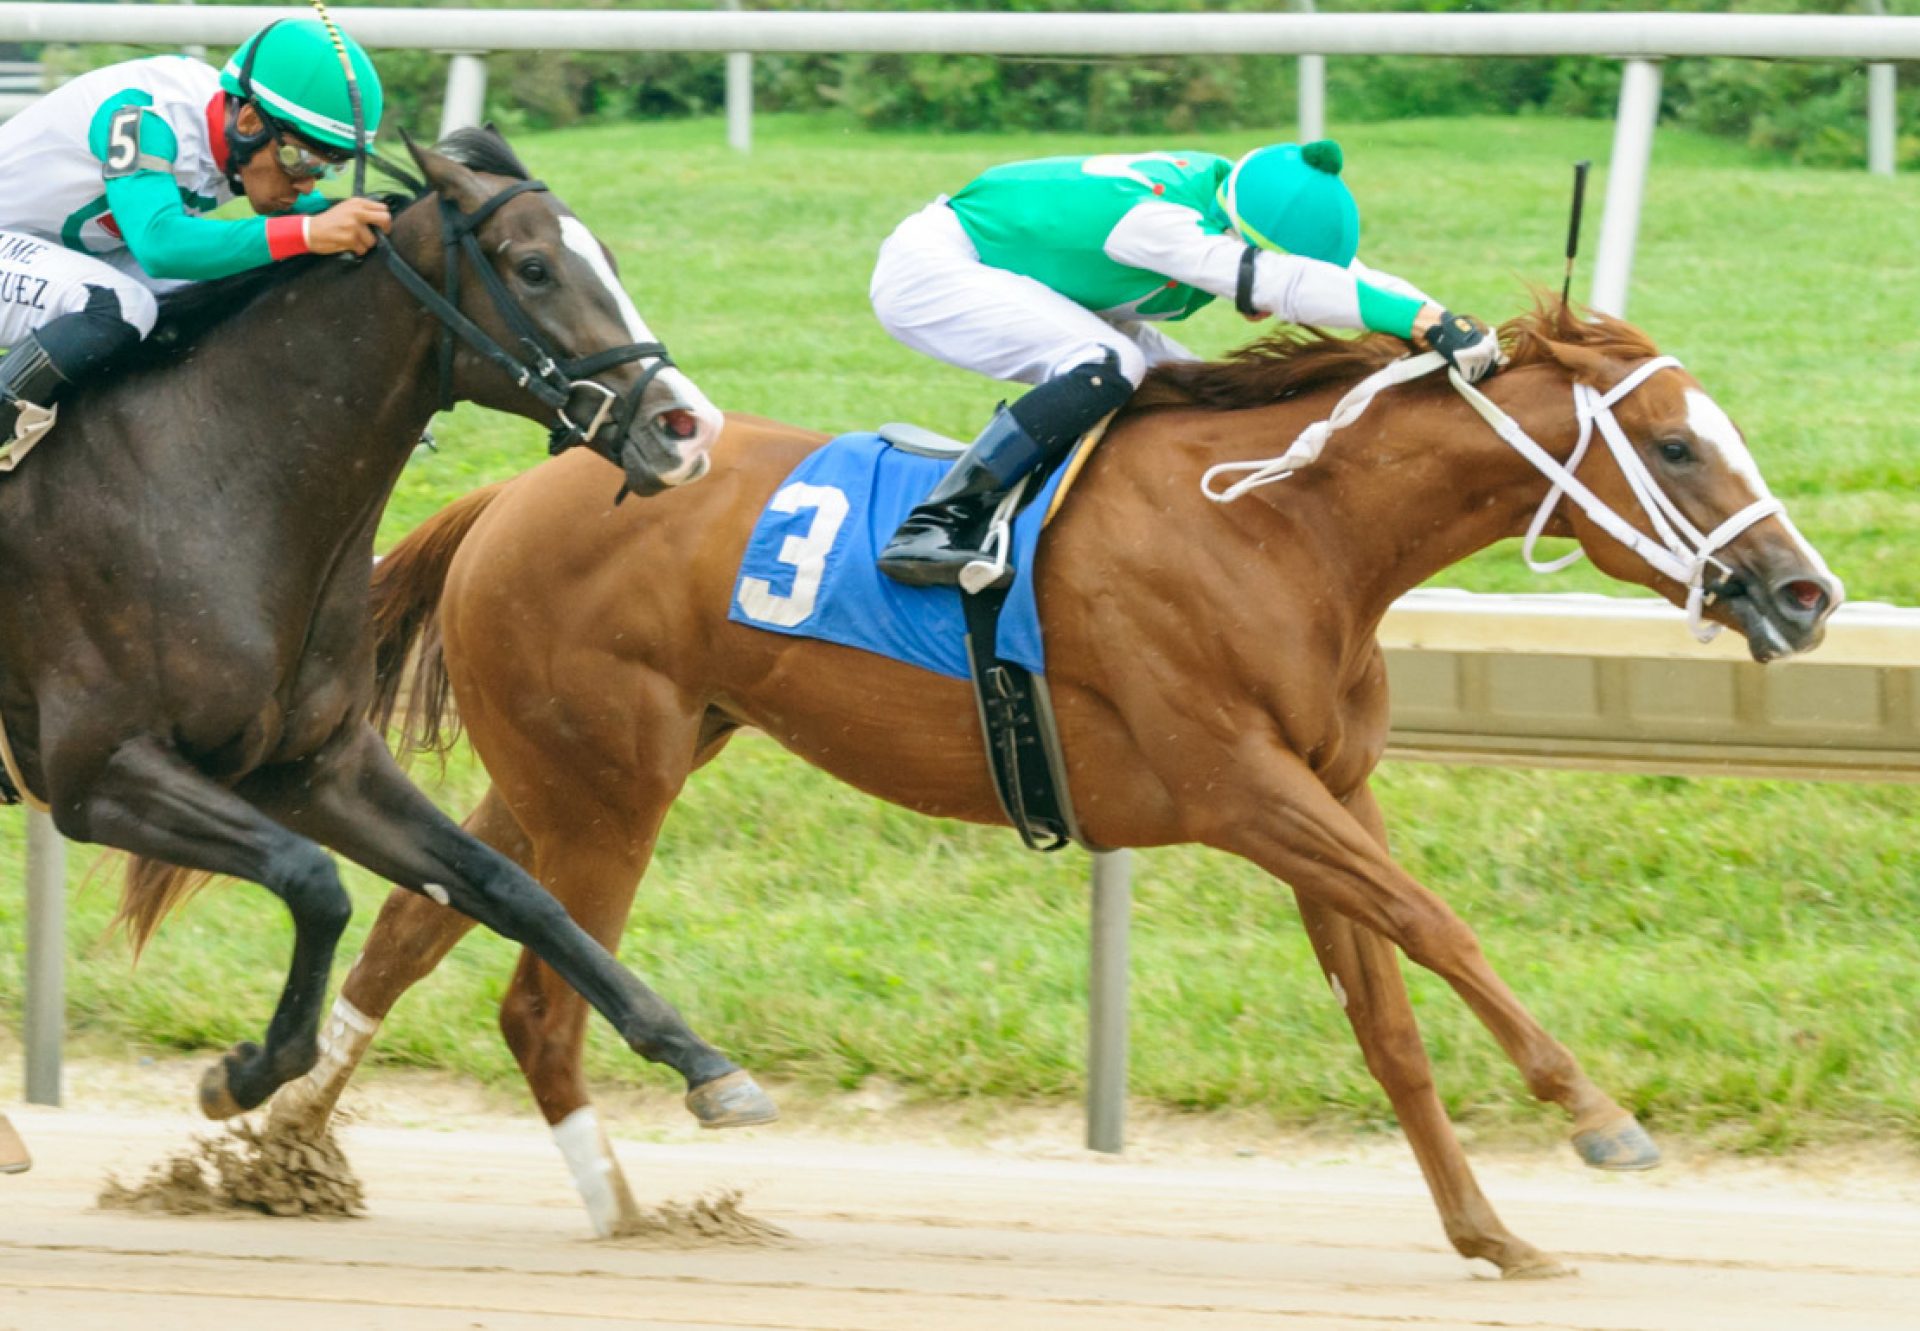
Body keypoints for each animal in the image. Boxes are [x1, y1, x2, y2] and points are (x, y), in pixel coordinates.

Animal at [5, 129, 779, 1129]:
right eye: (534, 266)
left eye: (606, 256)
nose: (688, 427)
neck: (207, 479)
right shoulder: (99, 772)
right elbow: (314, 882)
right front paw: (247, 1070)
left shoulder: (314, 765)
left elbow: (513, 887)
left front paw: (700, 1058)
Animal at [278, 309, 1835, 1275]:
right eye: (1678, 446)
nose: (1808, 594)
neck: (1282, 526)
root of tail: (514, 493)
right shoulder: (1239, 789)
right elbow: (1439, 925)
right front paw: (1599, 1116)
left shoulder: (1329, 793)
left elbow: (1389, 1017)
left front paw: (1489, 1231)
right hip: (612, 783)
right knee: (540, 1001)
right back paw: (627, 1203)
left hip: (568, 772)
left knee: (420, 930)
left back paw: (279, 1143)